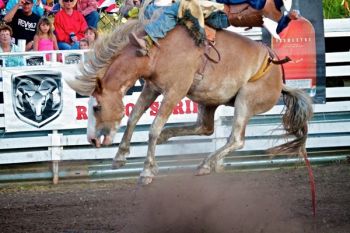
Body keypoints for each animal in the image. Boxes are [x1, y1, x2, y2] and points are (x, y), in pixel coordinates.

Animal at [67, 19, 314, 184]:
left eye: (97, 107)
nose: (91, 139)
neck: (155, 51)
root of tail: (280, 80)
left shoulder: (175, 91)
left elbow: (153, 128)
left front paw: (147, 171)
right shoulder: (152, 88)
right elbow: (133, 118)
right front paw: (120, 157)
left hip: (245, 100)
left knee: (235, 139)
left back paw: (206, 164)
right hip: (209, 100)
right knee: (205, 128)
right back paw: (182, 145)